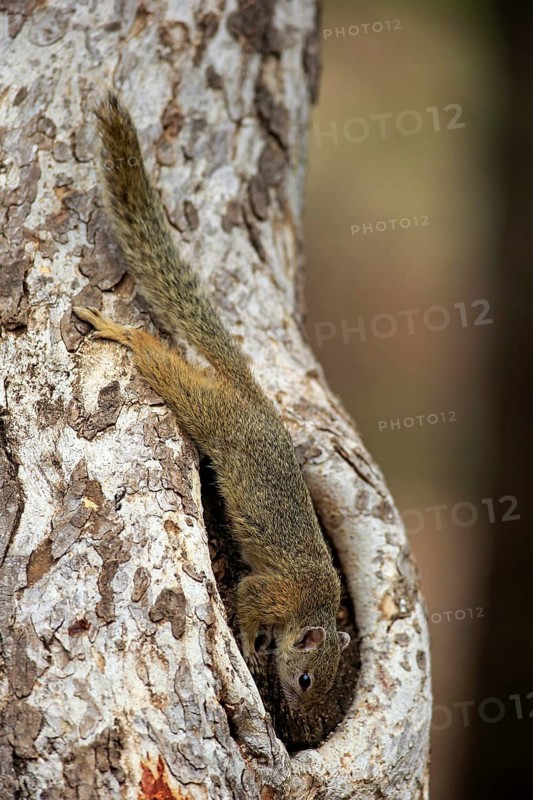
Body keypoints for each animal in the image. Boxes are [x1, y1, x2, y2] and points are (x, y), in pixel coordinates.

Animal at [74, 93, 350, 710]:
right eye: (305, 679)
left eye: (321, 689)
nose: (297, 710)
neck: (313, 604)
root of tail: (251, 398)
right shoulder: (269, 590)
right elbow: (246, 601)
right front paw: (250, 646)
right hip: (207, 410)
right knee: (159, 359)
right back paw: (120, 332)